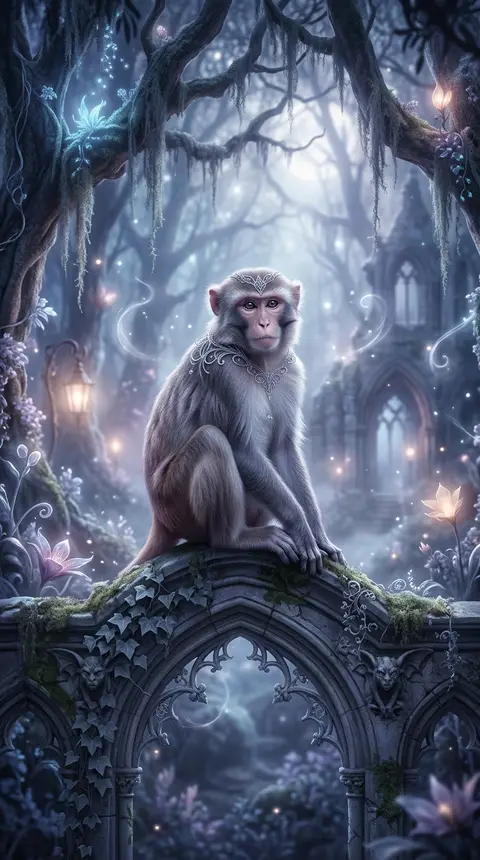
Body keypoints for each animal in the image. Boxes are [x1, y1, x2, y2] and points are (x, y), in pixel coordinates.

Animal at [130, 267, 345, 576]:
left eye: (272, 303)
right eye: (249, 306)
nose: (265, 323)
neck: (259, 363)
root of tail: (159, 519)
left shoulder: (291, 371)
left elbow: (282, 449)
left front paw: (318, 534)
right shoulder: (225, 375)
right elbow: (242, 451)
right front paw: (301, 530)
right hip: (174, 503)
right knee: (211, 440)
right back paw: (233, 539)